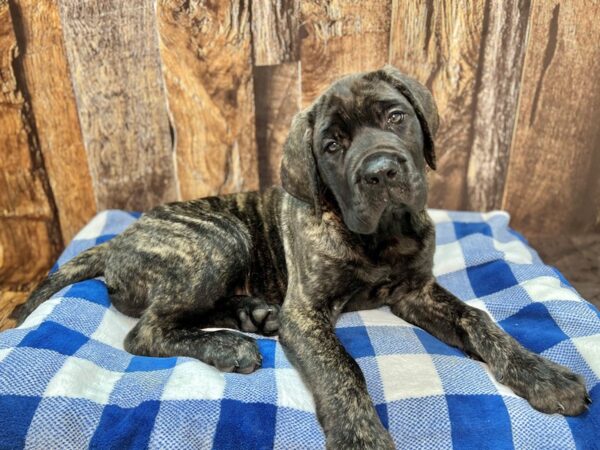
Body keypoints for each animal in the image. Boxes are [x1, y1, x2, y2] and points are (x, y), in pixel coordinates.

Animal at [19, 66, 592, 446]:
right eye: (332, 146)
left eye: (396, 116)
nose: (381, 171)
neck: (379, 236)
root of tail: (117, 239)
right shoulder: (308, 313)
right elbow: (342, 370)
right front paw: (362, 437)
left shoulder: (415, 291)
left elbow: (478, 319)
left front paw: (543, 376)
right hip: (223, 236)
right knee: (146, 330)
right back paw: (230, 344)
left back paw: (251, 315)